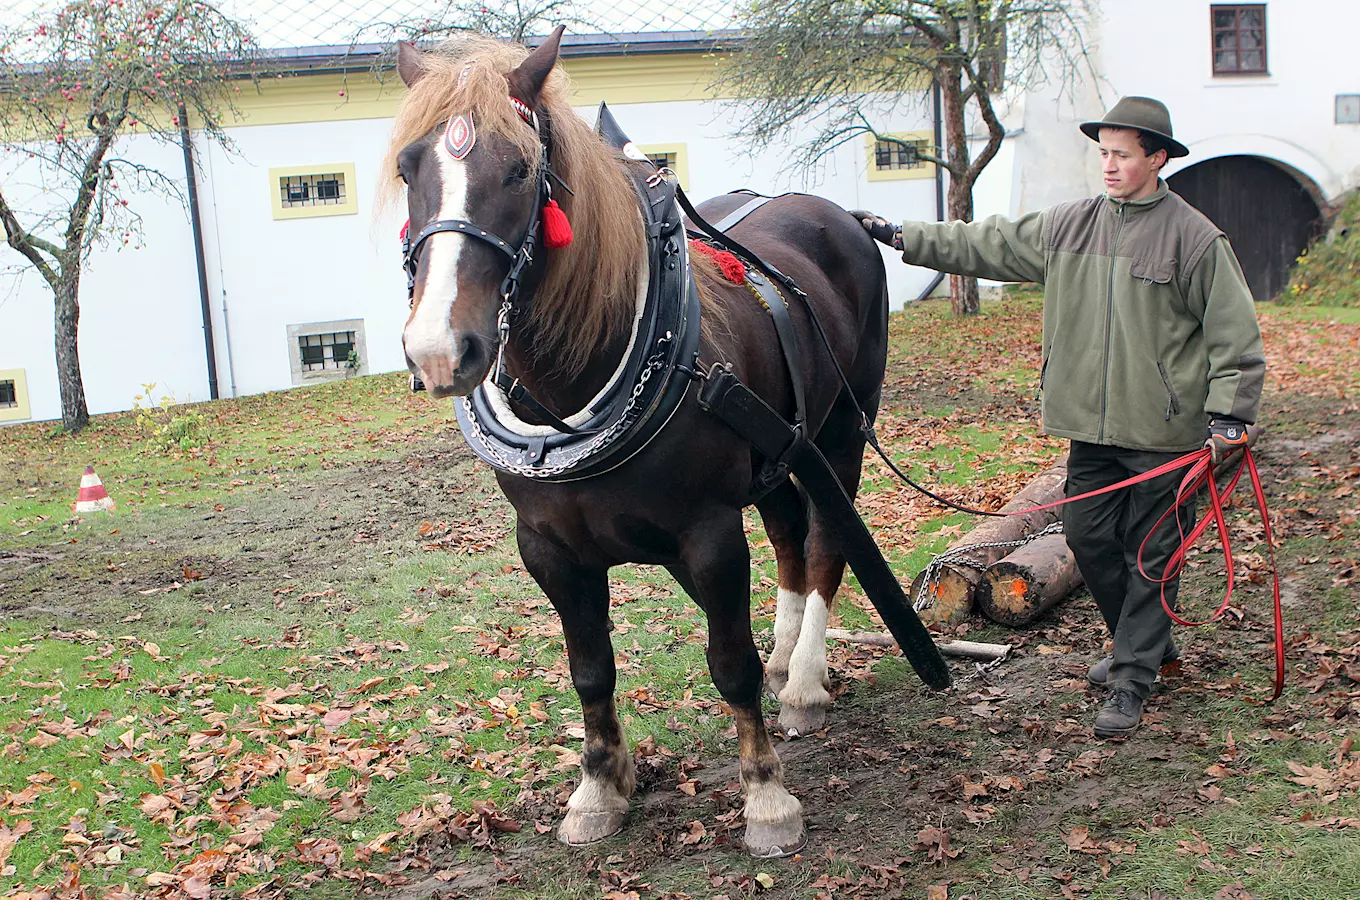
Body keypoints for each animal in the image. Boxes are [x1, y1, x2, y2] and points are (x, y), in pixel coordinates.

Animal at [388, 29, 903, 859]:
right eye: (409, 167)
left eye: (520, 169)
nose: (439, 349)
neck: (579, 394)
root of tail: (833, 212)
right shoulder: (549, 550)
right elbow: (590, 669)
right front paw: (600, 787)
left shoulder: (710, 536)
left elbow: (730, 664)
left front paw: (767, 797)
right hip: (777, 451)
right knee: (790, 527)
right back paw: (789, 651)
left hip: (841, 432)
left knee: (827, 540)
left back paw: (803, 679)